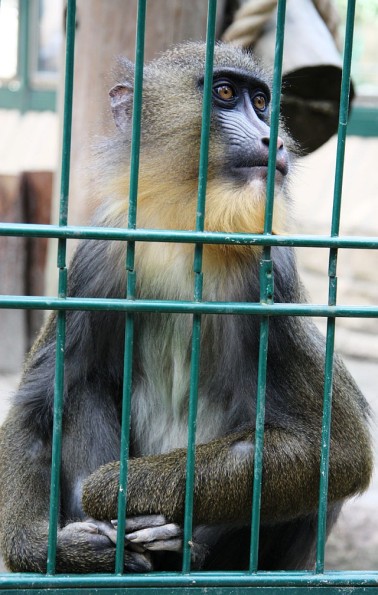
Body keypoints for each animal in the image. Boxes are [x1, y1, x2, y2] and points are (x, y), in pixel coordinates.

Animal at [0, 40, 372, 572]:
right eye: (225, 93)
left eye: (263, 102)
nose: (274, 141)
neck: (185, 235)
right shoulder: (97, 257)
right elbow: (36, 410)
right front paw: (54, 548)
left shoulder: (272, 279)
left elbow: (338, 447)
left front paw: (118, 488)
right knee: (80, 389)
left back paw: (173, 546)